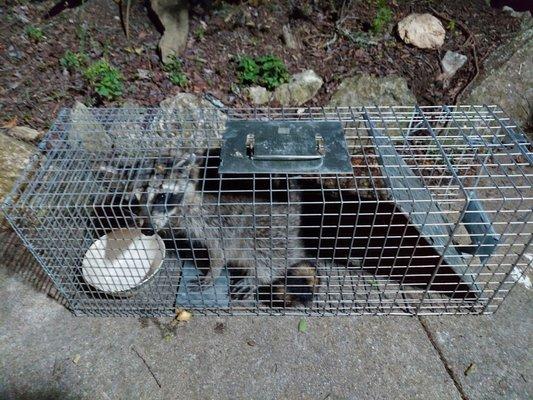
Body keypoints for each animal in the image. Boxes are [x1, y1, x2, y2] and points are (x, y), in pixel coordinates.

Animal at [125, 152, 318, 306]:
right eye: (139, 198)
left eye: (162, 196)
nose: (148, 230)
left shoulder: (216, 222)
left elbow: (219, 252)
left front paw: (213, 273)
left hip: (269, 228)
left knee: (267, 253)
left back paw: (257, 276)